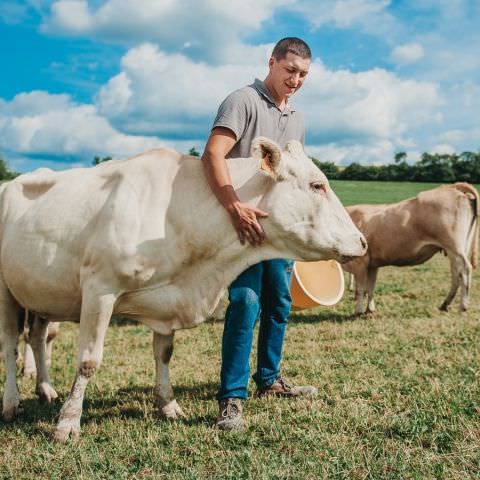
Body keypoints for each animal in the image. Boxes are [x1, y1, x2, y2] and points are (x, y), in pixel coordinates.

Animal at [0, 137, 366, 440]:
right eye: (317, 185)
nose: (362, 241)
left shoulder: (168, 299)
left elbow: (164, 353)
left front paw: (168, 404)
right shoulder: (99, 288)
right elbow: (88, 361)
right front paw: (68, 423)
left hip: (41, 291)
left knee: (37, 337)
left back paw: (45, 389)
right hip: (6, 290)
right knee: (10, 345)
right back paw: (11, 403)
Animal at [344, 182, 478, 314]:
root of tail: (451, 187)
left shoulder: (360, 261)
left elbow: (361, 288)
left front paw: (358, 311)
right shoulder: (372, 264)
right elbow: (370, 288)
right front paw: (370, 309)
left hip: (455, 248)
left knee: (464, 270)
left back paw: (463, 306)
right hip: (457, 249)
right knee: (456, 273)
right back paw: (445, 304)